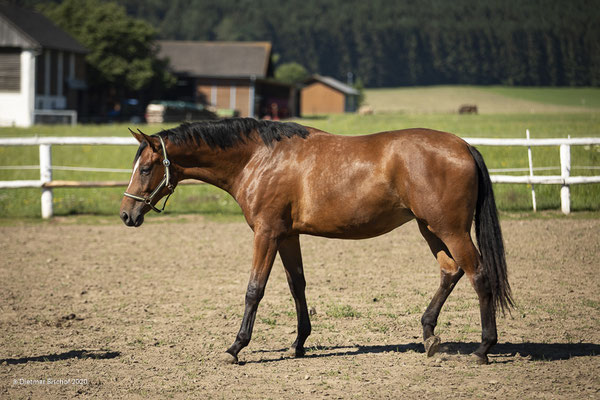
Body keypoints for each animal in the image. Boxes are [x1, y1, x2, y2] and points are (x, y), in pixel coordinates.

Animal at [119, 117, 512, 364]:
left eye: (145, 168)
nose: (126, 214)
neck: (259, 157)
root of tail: (464, 146)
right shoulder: (287, 235)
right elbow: (297, 285)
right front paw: (299, 343)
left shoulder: (266, 233)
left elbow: (254, 290)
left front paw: (235, 347)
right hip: (430, 228)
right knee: (451, 271)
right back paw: (429, 335)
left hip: (450, 230)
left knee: (479, 275)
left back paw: (483, 348)